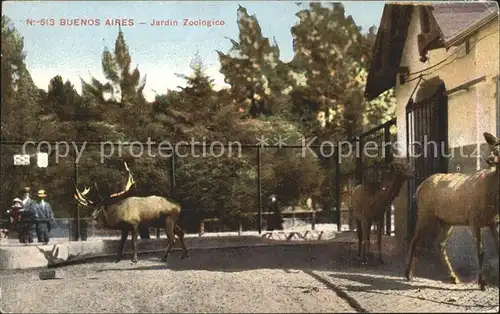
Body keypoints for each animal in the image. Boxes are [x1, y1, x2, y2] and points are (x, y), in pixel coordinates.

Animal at [406, 131, 500, 290]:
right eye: (494, 148)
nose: (490, 159)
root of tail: (419, 188)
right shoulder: (474, 219)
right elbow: (480, 250)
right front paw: (482, 283)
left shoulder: (494, 222)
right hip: (425, 213)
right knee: (415, 239)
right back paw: (408, 274)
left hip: (446, 221)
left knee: (439, 243)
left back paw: (453, 277)